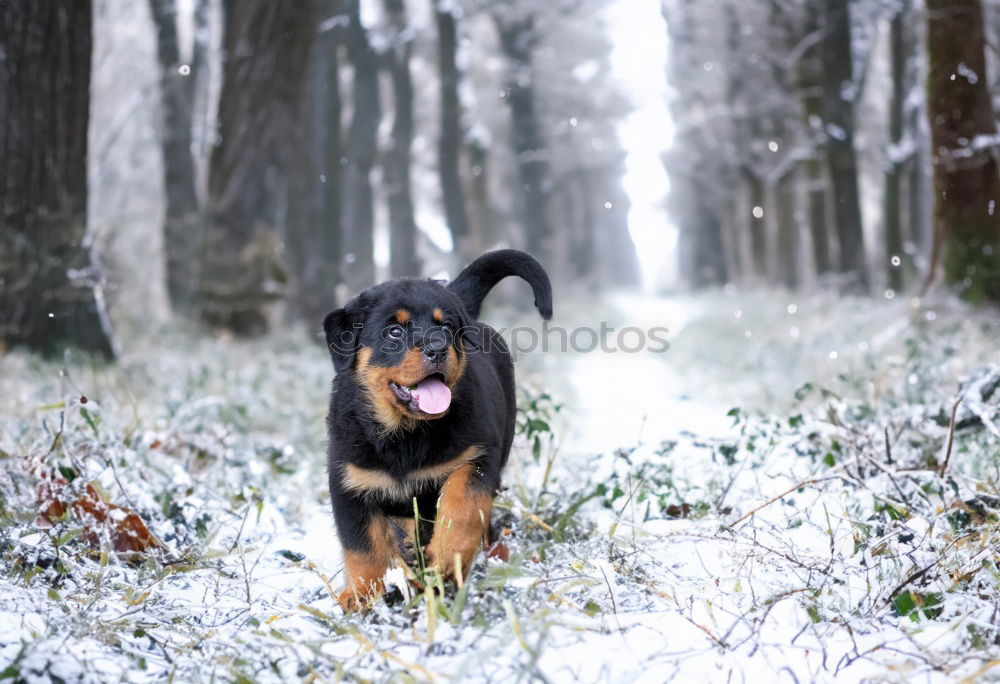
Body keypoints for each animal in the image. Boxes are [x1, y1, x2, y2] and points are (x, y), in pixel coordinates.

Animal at [324, 250, 552, 608]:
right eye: (394, 332)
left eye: (445, 326)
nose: (438, 347)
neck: (405, 435)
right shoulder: (349, 482)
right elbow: (362, 546)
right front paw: (361, 596)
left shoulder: (477, 458)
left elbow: (462, 507)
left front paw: (446, 560)